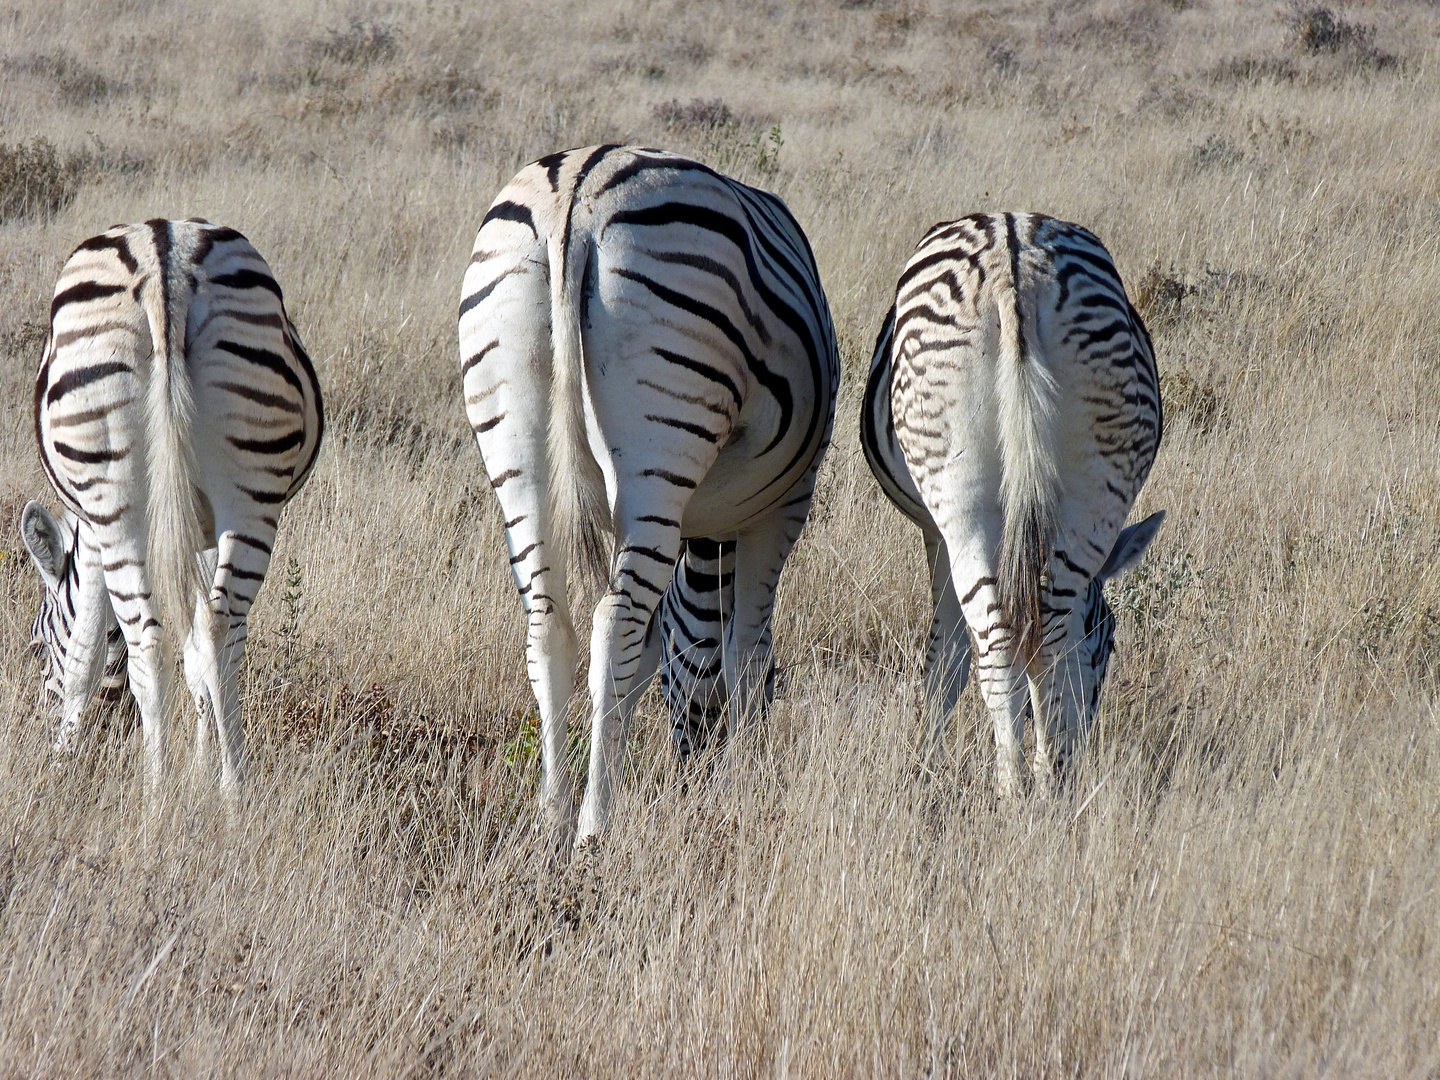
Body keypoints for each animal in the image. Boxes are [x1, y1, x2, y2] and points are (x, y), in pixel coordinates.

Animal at [19, 217, 324, 794]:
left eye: (38, 642)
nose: (37, 731)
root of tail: (167, 263)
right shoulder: (198, 529)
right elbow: (198, 648)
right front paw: (205, 766)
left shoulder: (91, 536)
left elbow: (86, 651)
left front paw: (64, 756)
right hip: (251, 495)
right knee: (219, 629)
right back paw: (234, 793)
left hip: (115, 502)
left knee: (147, 641)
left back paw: (155, 795)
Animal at [460, 146, 840, 846]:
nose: (695, 772)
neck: (708, 538)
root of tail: (574, 197)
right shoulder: (782, 508)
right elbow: (744, 649)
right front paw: (742, 783)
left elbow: (644, 660)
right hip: (662, 447)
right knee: (613, 625)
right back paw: (593, 827)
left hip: (514, 443)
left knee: (548, 627)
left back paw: (554, 820)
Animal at [858, 216, 1163, 800]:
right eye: (1108, 644)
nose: (1079, 759)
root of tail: (1012, 263)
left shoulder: (938, 532)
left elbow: (949, 654)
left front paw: (924, 765)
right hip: (1081, 496)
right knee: (1044, 645)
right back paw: (1040, 786)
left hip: (969, 497)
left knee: (1004, 647)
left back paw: (1015, 787)